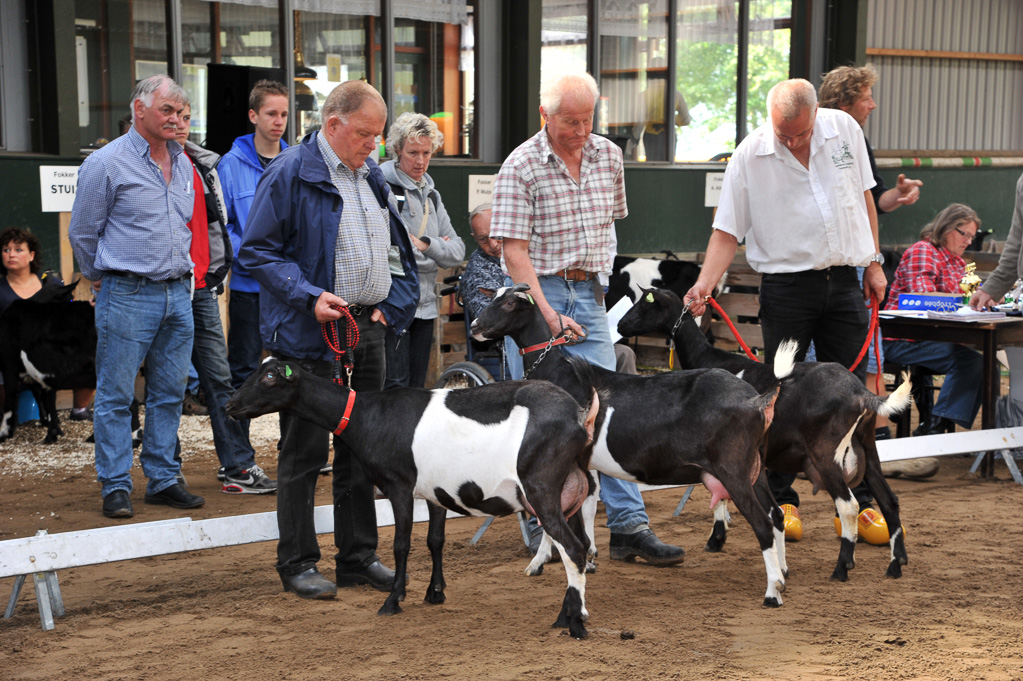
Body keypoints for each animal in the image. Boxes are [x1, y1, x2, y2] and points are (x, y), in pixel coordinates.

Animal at [226, 355, 597, 638]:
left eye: (270, 376)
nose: (230, 405)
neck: (368, 417)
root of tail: (579, 414)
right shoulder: (435, 492)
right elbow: (435, 541)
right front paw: (435, 593)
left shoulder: (399, 486)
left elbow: (401, 545)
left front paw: (393, 600)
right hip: (571, 490)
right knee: (579, 544)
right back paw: (566, 615)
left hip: (541, 486)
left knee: (573, 548)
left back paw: (576, 625)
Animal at [470, 280, 789, 605]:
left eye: (510, 303)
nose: (474, 327)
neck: (560, 374)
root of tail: (757, 399)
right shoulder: (585, 465)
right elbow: (584, 507)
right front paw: (585, 558)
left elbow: (563, 516)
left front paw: (541, 562)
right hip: (755, 468)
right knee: (776, 514)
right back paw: (784, 573)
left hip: (733, 468)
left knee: (762, 523)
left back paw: (772, 592)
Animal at [613, 288, 912, 580]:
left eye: (645, 304)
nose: (619, 325)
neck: (711, 358)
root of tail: (860, 392)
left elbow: (720, 494)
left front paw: (716, 538)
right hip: (866, 445)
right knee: (889, 500)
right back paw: (895, 565)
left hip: (827, 452)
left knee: (848, 506)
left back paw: (842, 568)